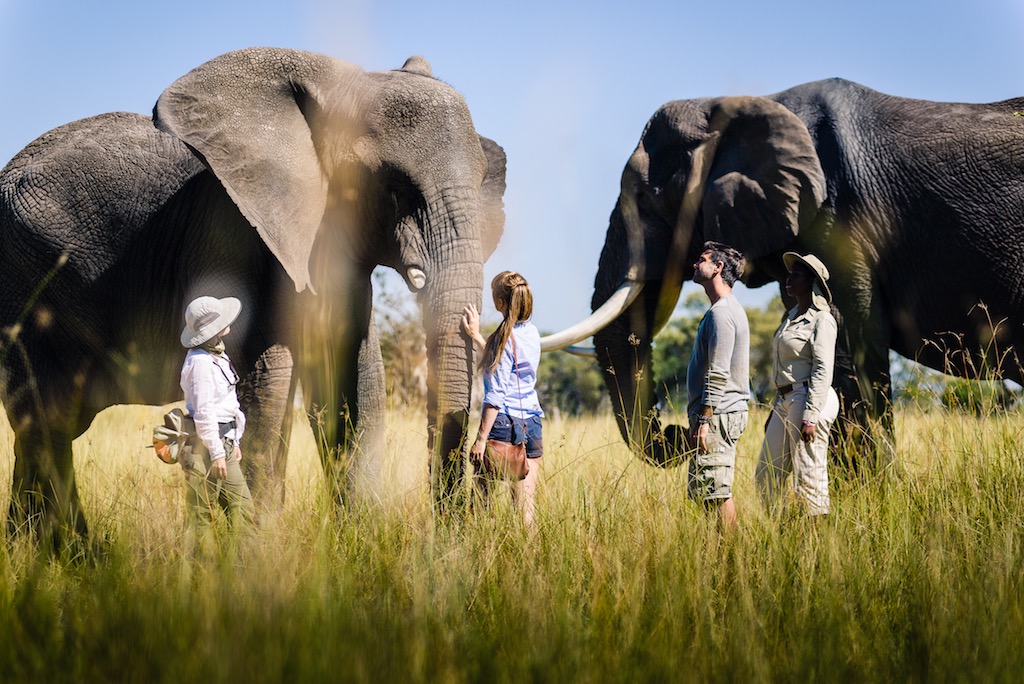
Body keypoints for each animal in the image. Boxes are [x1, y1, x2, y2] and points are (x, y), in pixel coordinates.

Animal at [0, 48, 503, 548]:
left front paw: (358, 544)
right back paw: (66, 554)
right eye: (391, 186)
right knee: (46, 425)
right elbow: (266, 383)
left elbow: (355, 381)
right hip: (24, 291)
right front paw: (261, 551)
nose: (456, 531)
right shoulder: (234, 232)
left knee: (48, 429)